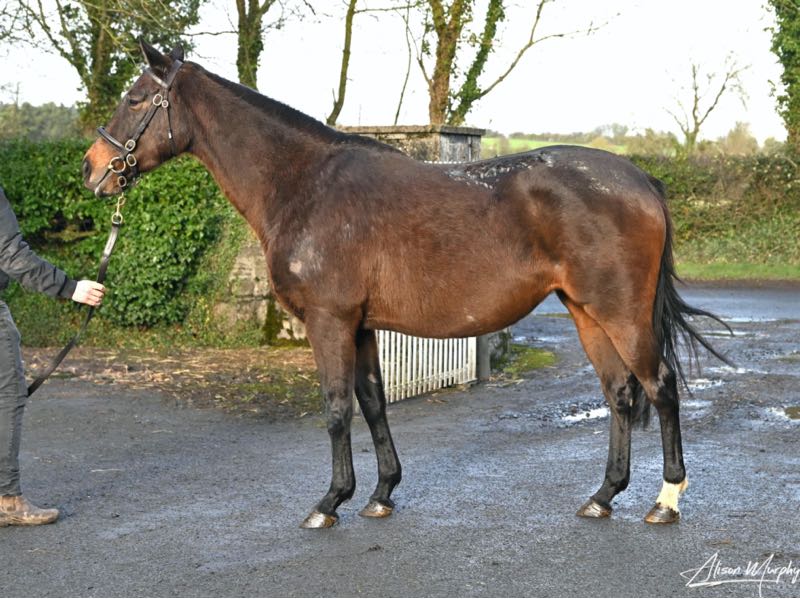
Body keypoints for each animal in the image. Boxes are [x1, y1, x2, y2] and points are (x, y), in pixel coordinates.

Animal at [82, 41, 729, 529]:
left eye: (135, 99)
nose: (92, 170)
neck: (304, 184)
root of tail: (641, 179)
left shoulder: (329, 321)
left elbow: (336, 407)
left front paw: (328, 503)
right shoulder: (361, 325)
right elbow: (372, 403)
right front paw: (380, 493)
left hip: (620, 312)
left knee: (660, 385)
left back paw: (666, 501)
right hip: (586, 311)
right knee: (619, 392)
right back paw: (602, 496)